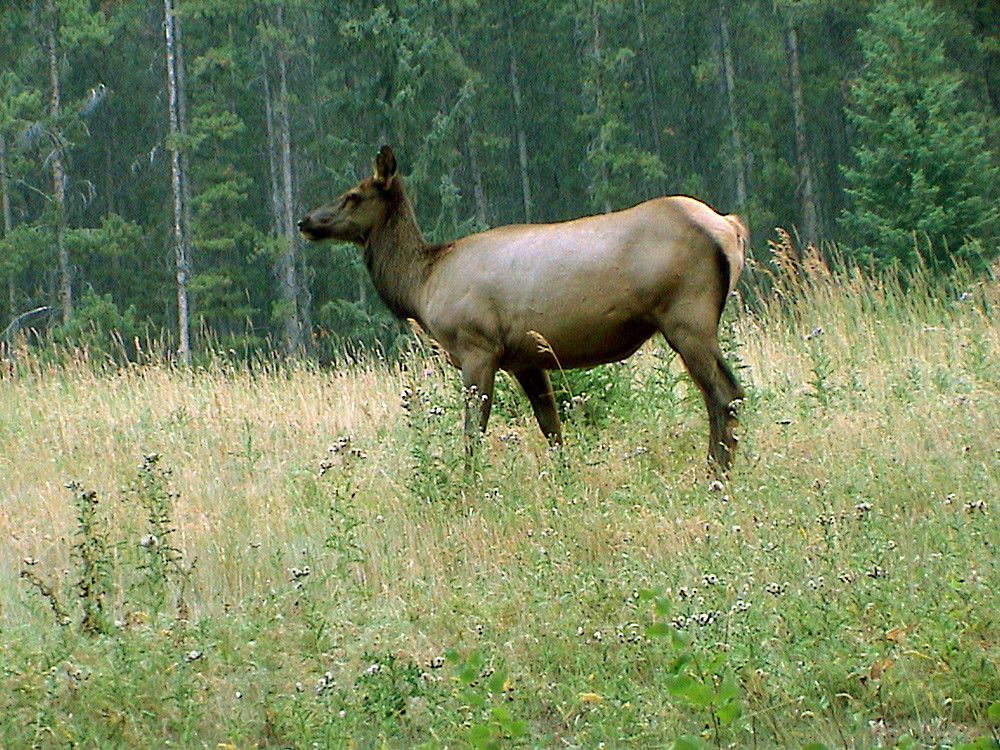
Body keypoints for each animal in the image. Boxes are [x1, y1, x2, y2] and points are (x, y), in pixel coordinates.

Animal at [300, 146, 748, 472]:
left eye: (353, 195)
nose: (306, 220)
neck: (423, 285)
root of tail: (729, 228)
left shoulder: (477, 346)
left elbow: (472, 432)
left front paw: (469, 486)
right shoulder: (525, 359)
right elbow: (552, 429)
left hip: (686, 315)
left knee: (725, 394)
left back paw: (715, 473)